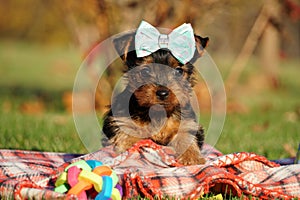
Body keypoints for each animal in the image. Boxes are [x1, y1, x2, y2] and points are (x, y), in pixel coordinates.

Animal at [102, 21, 209, 166]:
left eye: (178, 71)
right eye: (145, 71)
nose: (162, 93)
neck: (158, 113)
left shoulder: (187, 123)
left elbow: (187, 137)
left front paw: (191, 157)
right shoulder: (121, 120)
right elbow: (127, 133)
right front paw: (129, 146)